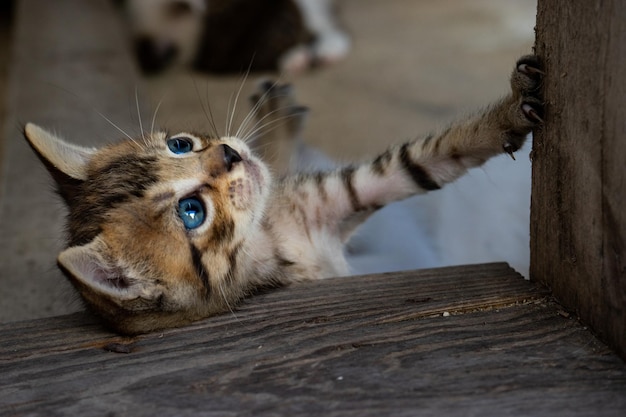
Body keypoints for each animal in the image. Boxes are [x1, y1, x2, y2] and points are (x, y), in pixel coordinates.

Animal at [23, 56, 540, 334]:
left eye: (181, 144)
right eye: (191, 212)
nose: (229, 153)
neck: (271, 234)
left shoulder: (332, 194)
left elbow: (436, 152)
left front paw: (512, 109)